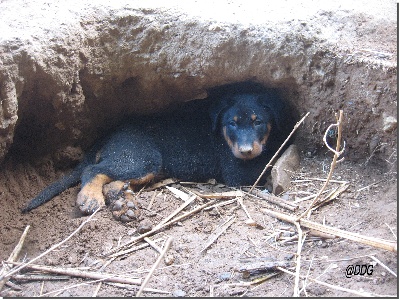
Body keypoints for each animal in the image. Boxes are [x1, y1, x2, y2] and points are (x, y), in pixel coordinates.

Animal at [23, 85, 296, 219]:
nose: (246, 150)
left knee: (111, 182)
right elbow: (267, 164)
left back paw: (124, 203)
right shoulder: (236, 172)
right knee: (93, 170)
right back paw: (89, 199)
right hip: (141, 157)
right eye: (232, 123)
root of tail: (112, 132)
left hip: (140, 163)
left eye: (258, 122)